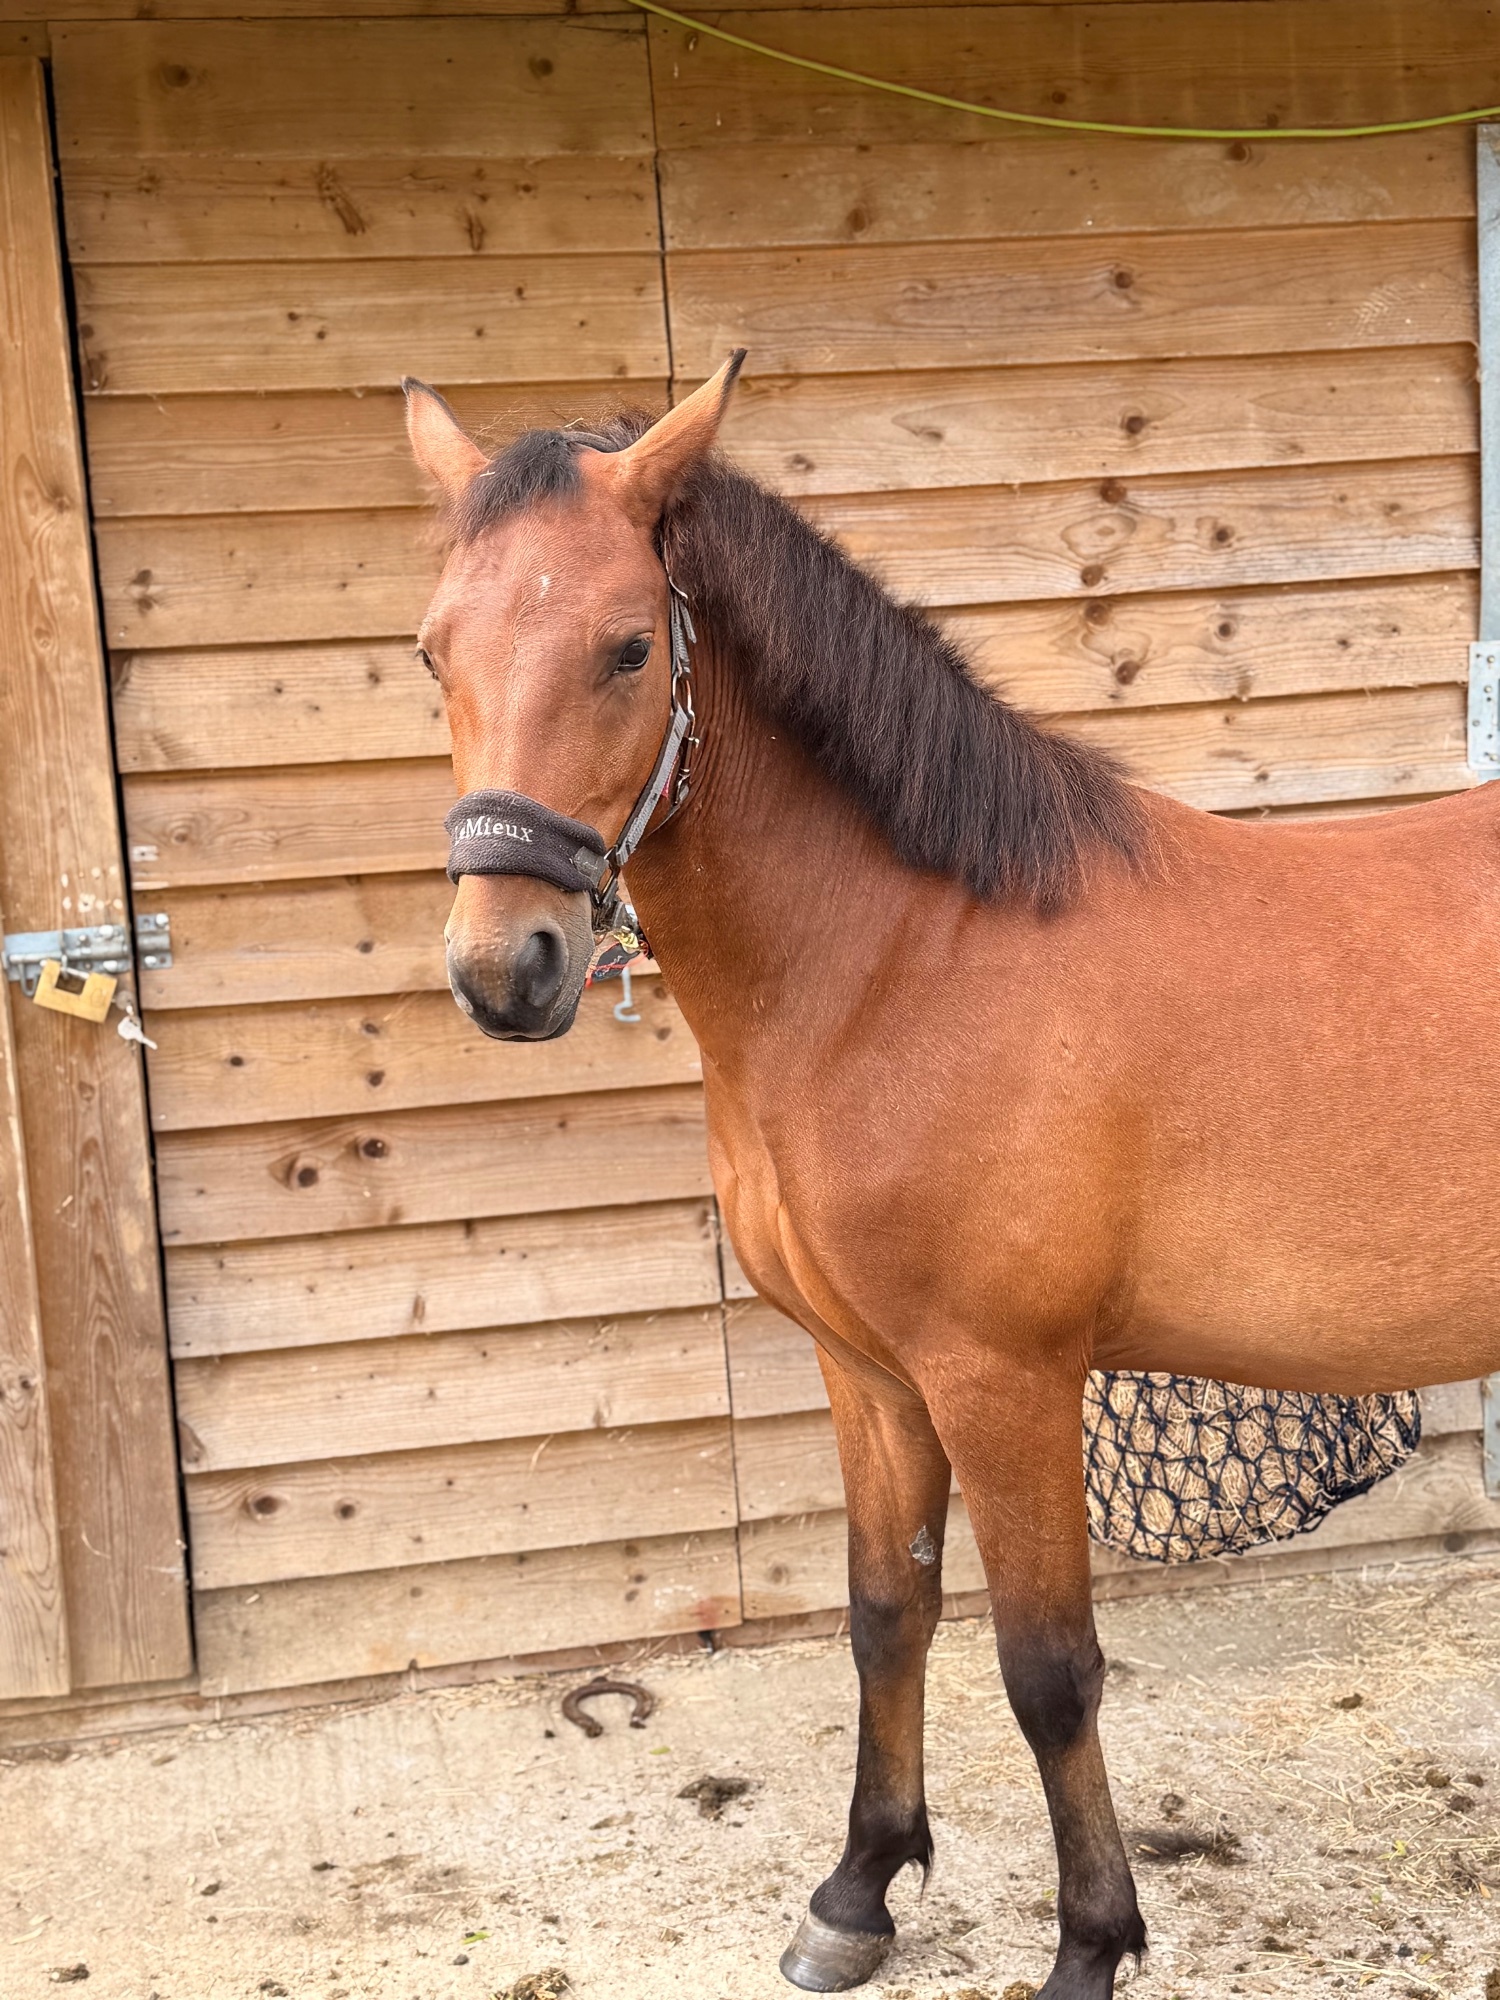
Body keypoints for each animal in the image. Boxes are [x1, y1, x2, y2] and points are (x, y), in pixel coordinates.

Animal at [401, 352, 1500, 1998]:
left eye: (623, 648)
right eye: (432, 654)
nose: (504, 968)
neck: (906, 963)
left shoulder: (1004, 1378)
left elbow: (1047, 1670)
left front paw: (1091, 1944)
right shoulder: (872, 1372)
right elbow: (885, 1613)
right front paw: (858, 1890)